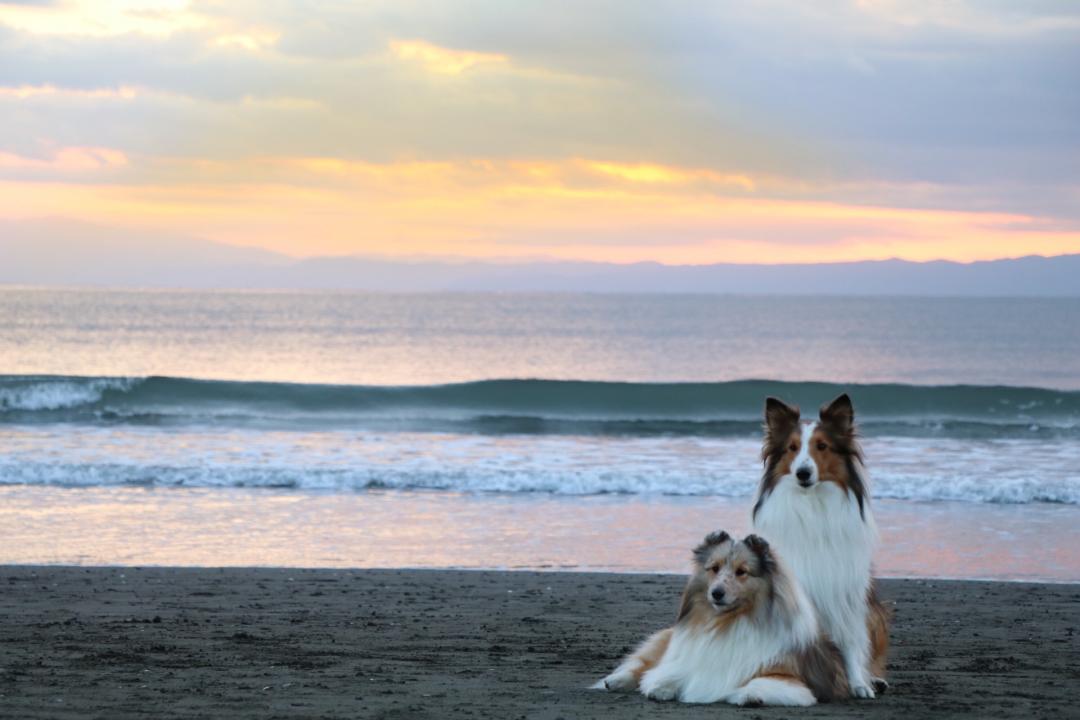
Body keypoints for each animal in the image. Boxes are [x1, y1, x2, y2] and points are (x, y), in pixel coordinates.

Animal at [596, 533, 846, 708]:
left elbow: (763, 682)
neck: (726, 622)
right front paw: (661, 687)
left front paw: (749, 694)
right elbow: (670, 671)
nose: (716, 593)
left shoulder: (790, 677)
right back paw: (615, 681)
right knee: (643, 663)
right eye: (714, 568)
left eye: (741, 571)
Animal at [747, 395, 889, 699]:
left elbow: (851, 643)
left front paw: (858, 684)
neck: (812, 505)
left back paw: (873, 680)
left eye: (822, 446)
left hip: (873, 611)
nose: (803, 473)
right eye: (792, 448)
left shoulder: (846, 592)